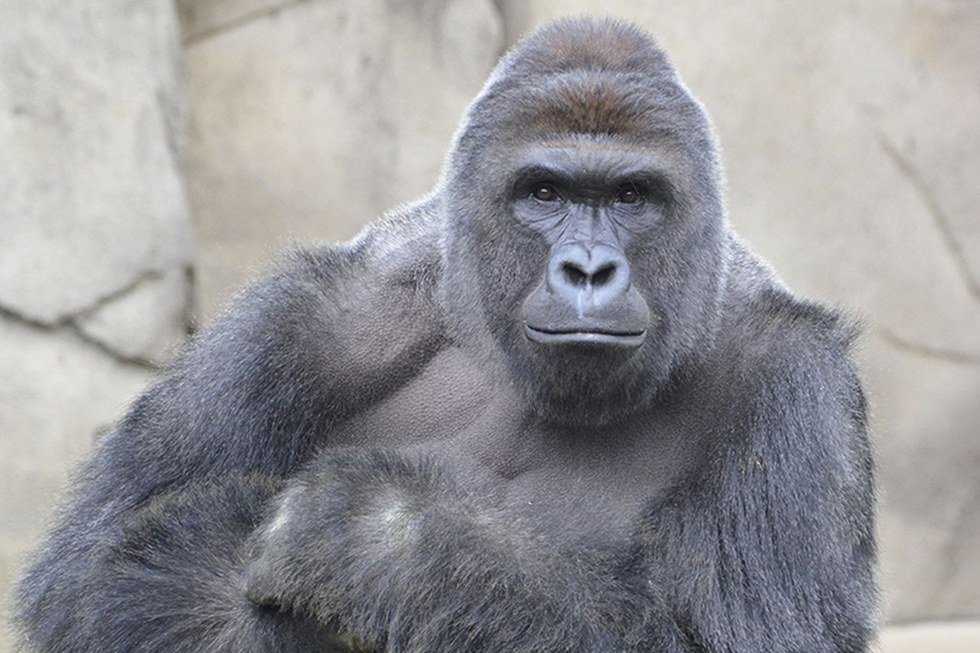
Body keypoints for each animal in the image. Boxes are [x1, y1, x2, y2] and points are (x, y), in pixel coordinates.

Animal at [15, 17, 876, 652]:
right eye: (543, 192)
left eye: (633, 196)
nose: (588, 269)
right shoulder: (307, 316)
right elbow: (86, 583)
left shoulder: (797, 382)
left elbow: (751, 637)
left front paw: (387, 539)